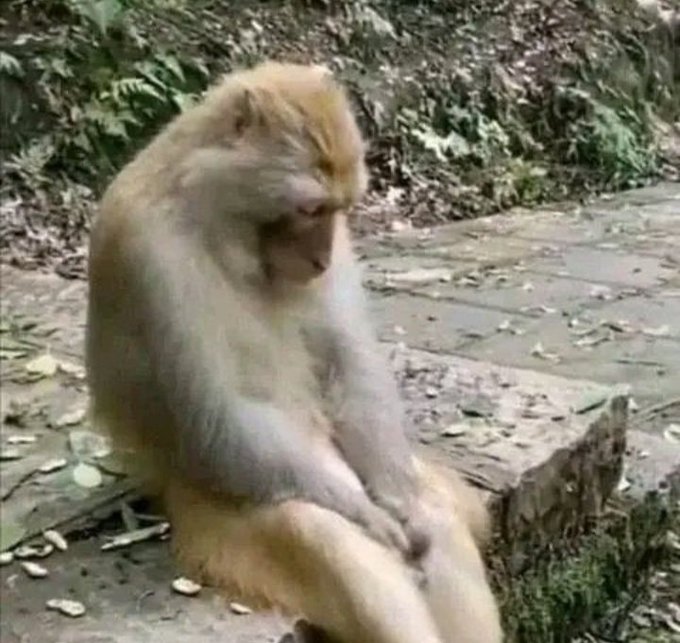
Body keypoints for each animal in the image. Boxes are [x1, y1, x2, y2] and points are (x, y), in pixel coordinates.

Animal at [86, 61, 502, 643]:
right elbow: (219, 414)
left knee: (435, 513)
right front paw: (374, 519)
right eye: (309, 208)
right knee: (323, 532)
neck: (213, 216)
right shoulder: (149, 254)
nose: (321, 258)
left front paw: (399, 506)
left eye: (339, 210)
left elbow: (350, 365)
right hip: (218, 521)